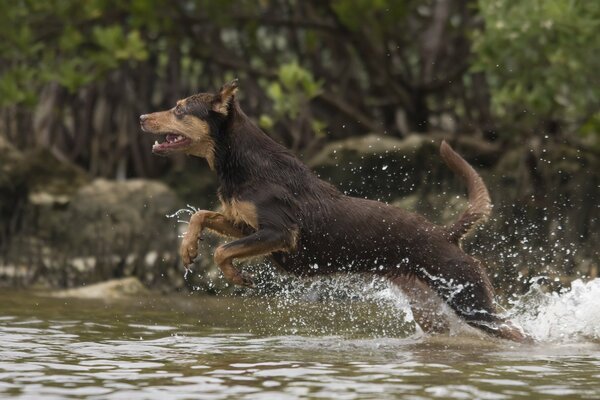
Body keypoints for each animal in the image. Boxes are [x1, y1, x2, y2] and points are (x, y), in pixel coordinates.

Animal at [139, 80, 524, 340]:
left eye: (178, 109)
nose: (141, 117)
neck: (240, 162)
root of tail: (445, 233)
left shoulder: (280, 232)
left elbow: (222, 250)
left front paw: (234, 276)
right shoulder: (247, 225)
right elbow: (200, 216)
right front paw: (188, 250)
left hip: (469, 298)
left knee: (516, 332)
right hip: (431, 310)